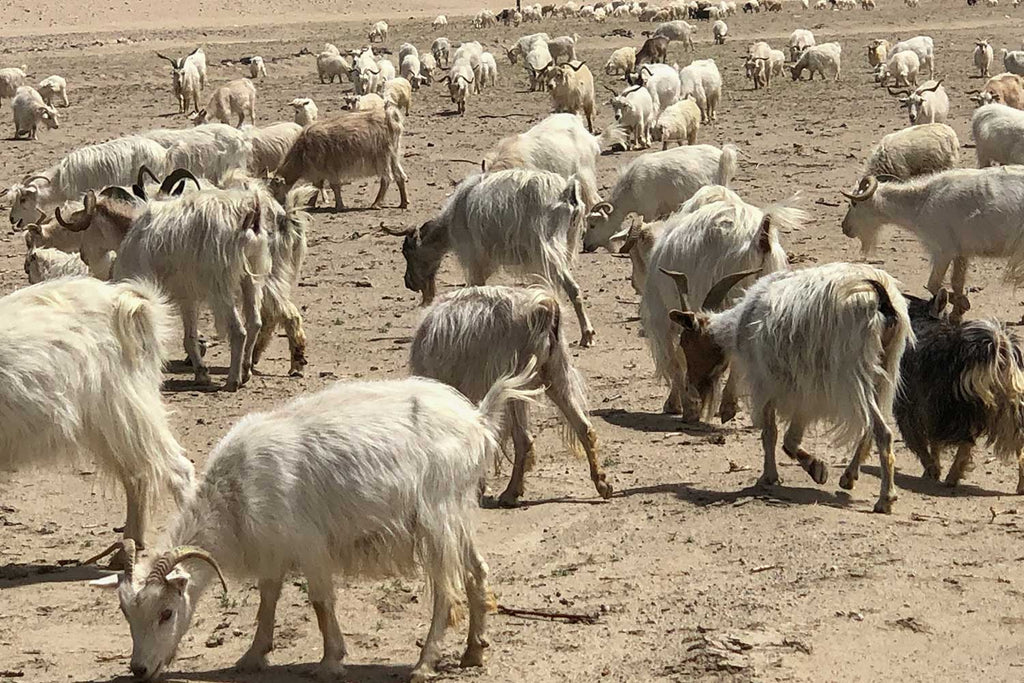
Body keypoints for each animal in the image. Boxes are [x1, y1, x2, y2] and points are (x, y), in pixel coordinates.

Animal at [92, 360, 544, 679]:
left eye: (167, 613)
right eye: (126, 613)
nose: (139, 670)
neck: (235, 494)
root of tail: (478, 421)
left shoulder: (310, 545)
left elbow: (320, 602)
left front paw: (330, 662)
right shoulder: (273, 551)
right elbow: (267, 601)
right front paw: (251, 656)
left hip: (437, 515)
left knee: (447, 589)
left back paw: (423, 664)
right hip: (458, 514)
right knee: (477, 572)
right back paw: (473, 651)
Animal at [671, 262, 913, 511]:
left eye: (686, 342)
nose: (692, 388)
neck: (741, 322)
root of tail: (880, 299)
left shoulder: (768, 382)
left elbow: (771, 433)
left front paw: (773, 476)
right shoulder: (803, 388)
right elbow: (790, 438)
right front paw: (816, 468)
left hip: (852, 373)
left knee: (882, 431)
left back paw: (885, 499)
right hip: (884, 368)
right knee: (870, 428)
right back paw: (849, 477)